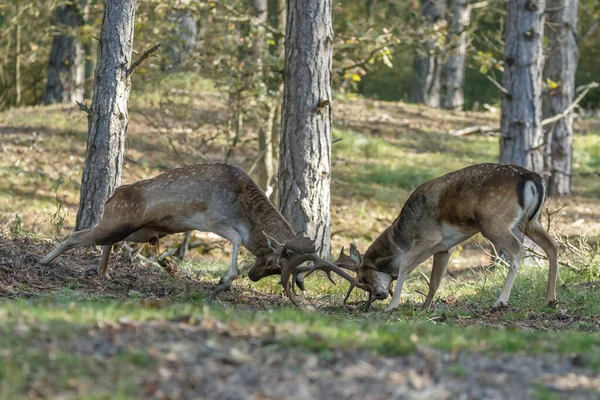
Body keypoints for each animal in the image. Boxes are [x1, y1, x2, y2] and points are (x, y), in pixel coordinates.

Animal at [38, 163, 328, 300]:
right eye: (272, 262)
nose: (252, 276)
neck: (242, 209)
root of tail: (112, 196)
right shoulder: (212, 219)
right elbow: (235, 237)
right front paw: (225, 280)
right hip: (116, 222)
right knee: (76, 235)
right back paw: (43, 261)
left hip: (139, 231)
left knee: (108, 241)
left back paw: (104, 273)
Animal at [284, 164, 556, 310]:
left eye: (362, 276)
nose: (379, 295)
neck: (402, 236)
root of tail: (533, 179)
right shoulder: (445, 248)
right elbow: (435, 280)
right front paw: (425, 308)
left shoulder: (429, 238)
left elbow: (405, 266)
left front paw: (394, 305)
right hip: (531, 221)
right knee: (552, 246)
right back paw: (550, 298)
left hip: (494, 221)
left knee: (519, 250)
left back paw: (500, 301)